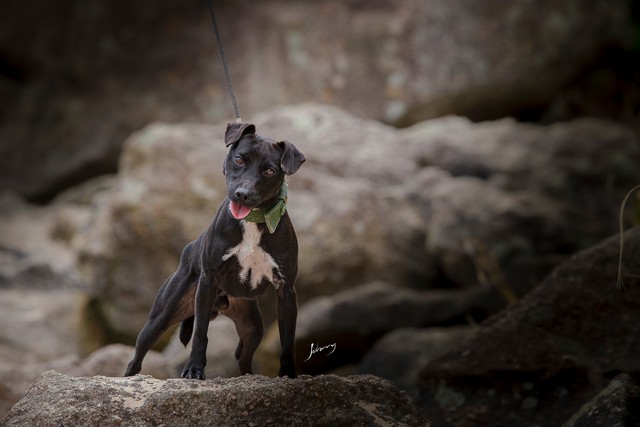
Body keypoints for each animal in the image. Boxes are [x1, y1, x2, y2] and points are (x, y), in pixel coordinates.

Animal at [126, 122, 306, 380]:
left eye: (270, 171)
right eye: (239, 159)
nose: (242, 194)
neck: (253, 221)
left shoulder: (287, 292)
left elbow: (288, 341)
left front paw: (289, 376)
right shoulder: (208, 282)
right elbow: (200, 333)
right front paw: (194, 369)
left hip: (252, 326)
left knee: (242, 354)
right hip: (162, 316)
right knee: (136, 357)